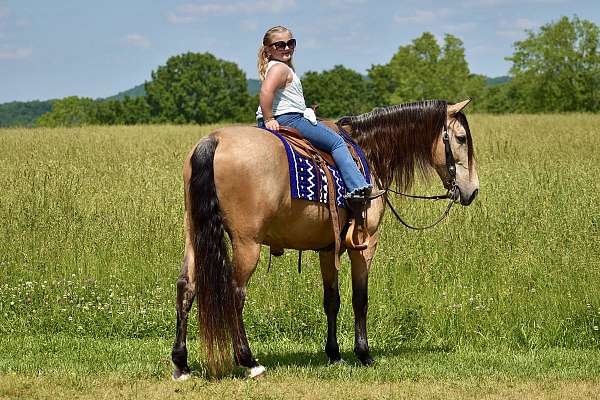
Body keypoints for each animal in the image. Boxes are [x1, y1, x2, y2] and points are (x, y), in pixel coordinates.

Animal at [171, 98, 480, 380]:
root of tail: (214, 140)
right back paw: (249, 361)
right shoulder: (364, 245)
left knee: (186, 287)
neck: (368, 153)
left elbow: (332, 299)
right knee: (235, 293)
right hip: (247, 244)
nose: (473, 190)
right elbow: (360, 299)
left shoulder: (328, 248)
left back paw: (181, 363)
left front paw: (334, 353)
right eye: (461, 138)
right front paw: (364, 353)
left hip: (194, 235)